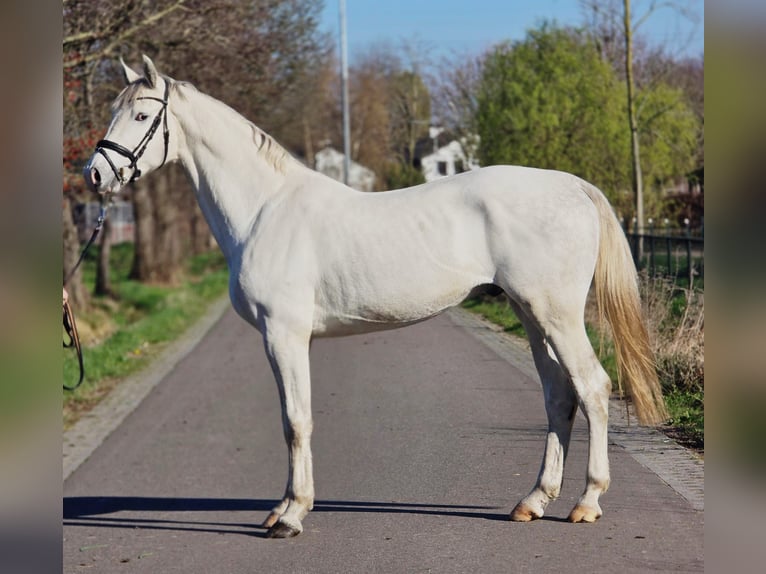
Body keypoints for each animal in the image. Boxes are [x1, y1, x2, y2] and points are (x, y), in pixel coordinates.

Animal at [83, 56, 667, 538]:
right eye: (114, 111)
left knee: (592, 387)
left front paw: (290, 517)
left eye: (140, 115)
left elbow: (296, 421)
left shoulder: (283, 335)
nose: (95, 173)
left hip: (556, 313)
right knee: (558, 397)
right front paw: (286, 507)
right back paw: (534, 500)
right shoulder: (291, 340)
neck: (265, 209)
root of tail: (573, 186)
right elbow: (296, 418)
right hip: (530, 314)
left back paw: (587, 502)